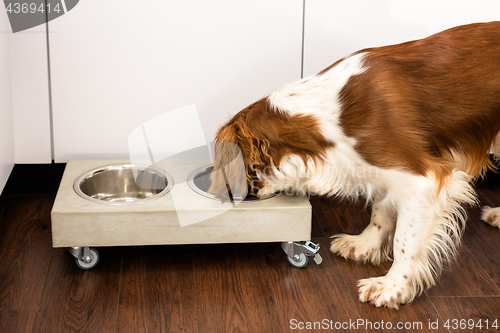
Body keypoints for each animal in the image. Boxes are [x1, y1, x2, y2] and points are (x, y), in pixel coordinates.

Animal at [207, 21, 500, 308]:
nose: (219, 196)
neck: (328, 114)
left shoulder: (421, 179)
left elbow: (404, 241)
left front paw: (391, 288)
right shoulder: (385, 172)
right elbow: (381, 213)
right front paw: (363, 245)